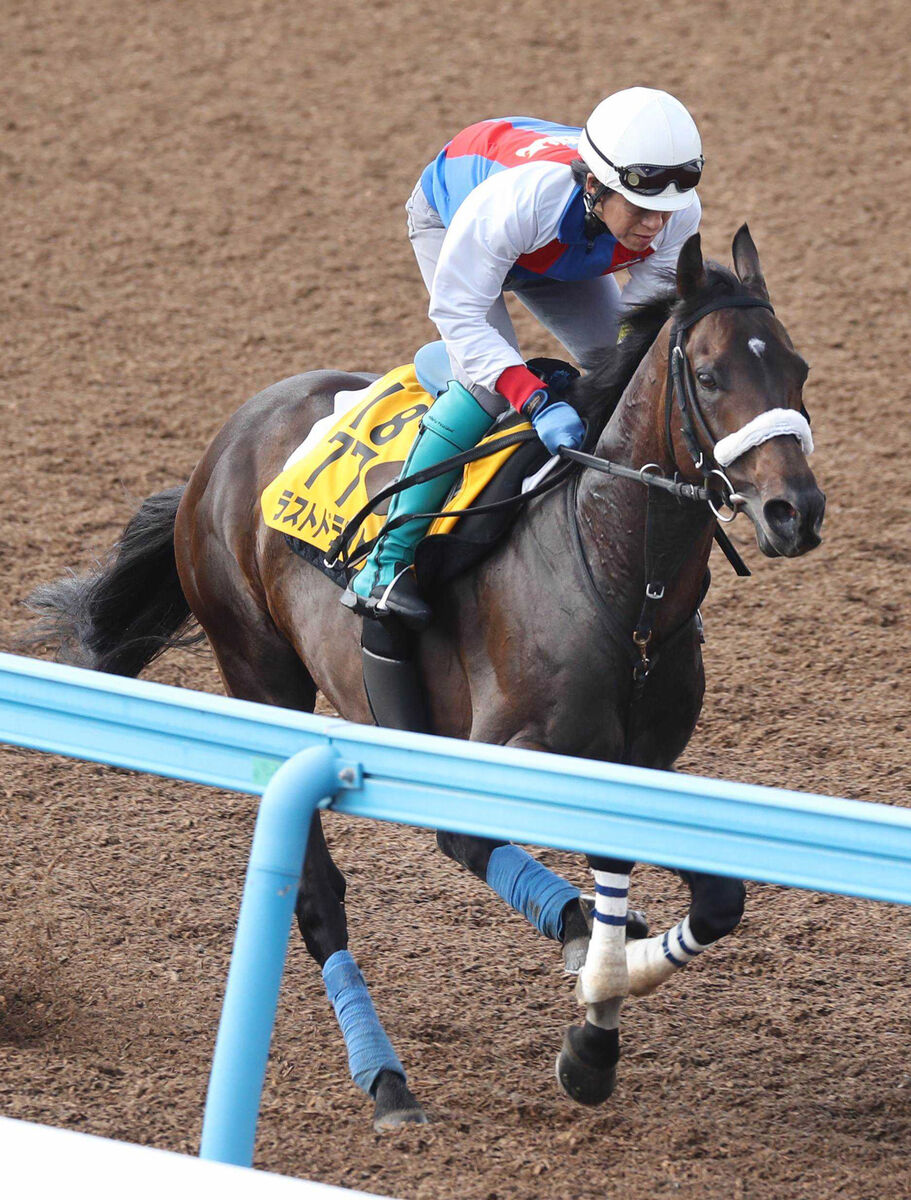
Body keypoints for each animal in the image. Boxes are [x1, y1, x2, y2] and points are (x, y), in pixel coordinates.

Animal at [30, 226, 825, 1132]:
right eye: (710, 375)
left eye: (796, 368)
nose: (795, 511)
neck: (616, 578)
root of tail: (226, 439)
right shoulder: (505, 750)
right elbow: (507, 852)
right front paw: (590, 970)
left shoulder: (640, 764)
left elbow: (711, 899)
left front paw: (595, 1029)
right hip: (261, 674)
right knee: (322, 898)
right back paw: (386, 1078)